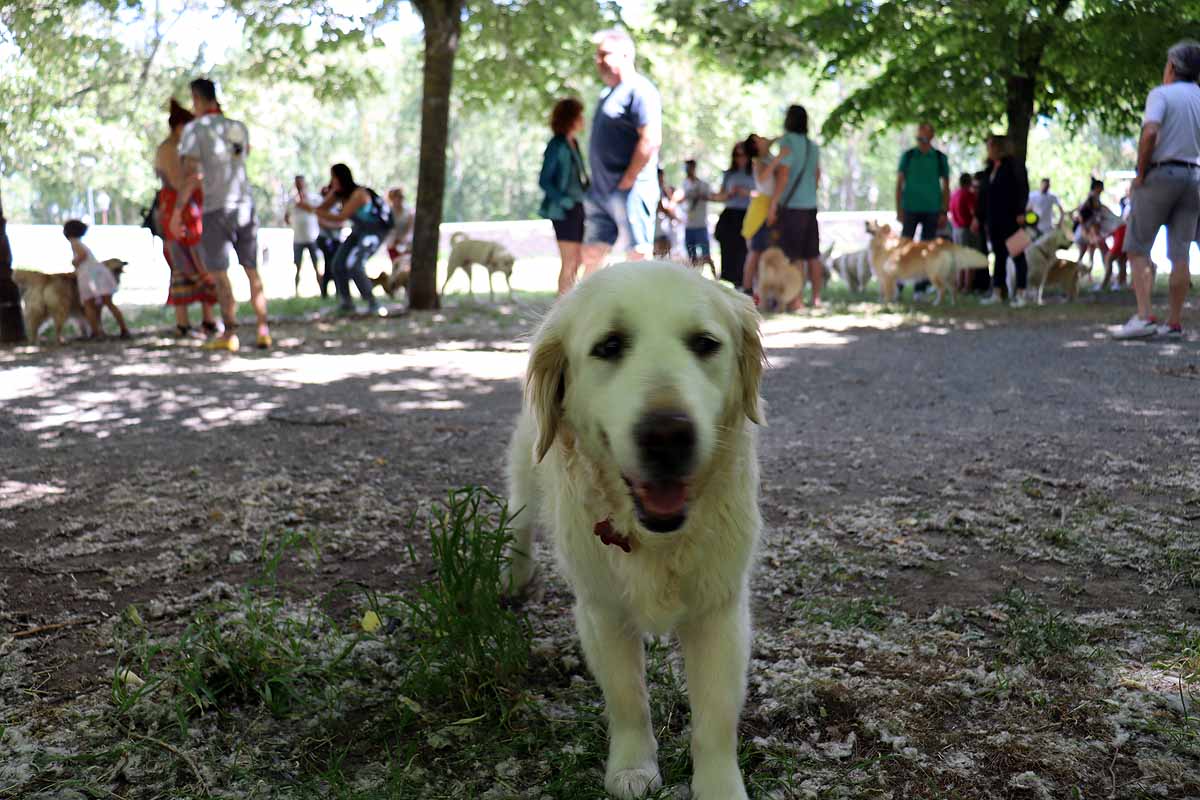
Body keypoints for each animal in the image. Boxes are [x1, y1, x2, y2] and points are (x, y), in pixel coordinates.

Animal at [506, 262, 768, 800]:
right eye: (609, 346)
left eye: (705, 343)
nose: (666, 435)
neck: (656, 536)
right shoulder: (601, 609)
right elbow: (627, 695)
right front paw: (632, 767)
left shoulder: (720, 609)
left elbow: (715, 716)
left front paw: (717, 785)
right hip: (526, 468)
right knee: (518, 520)